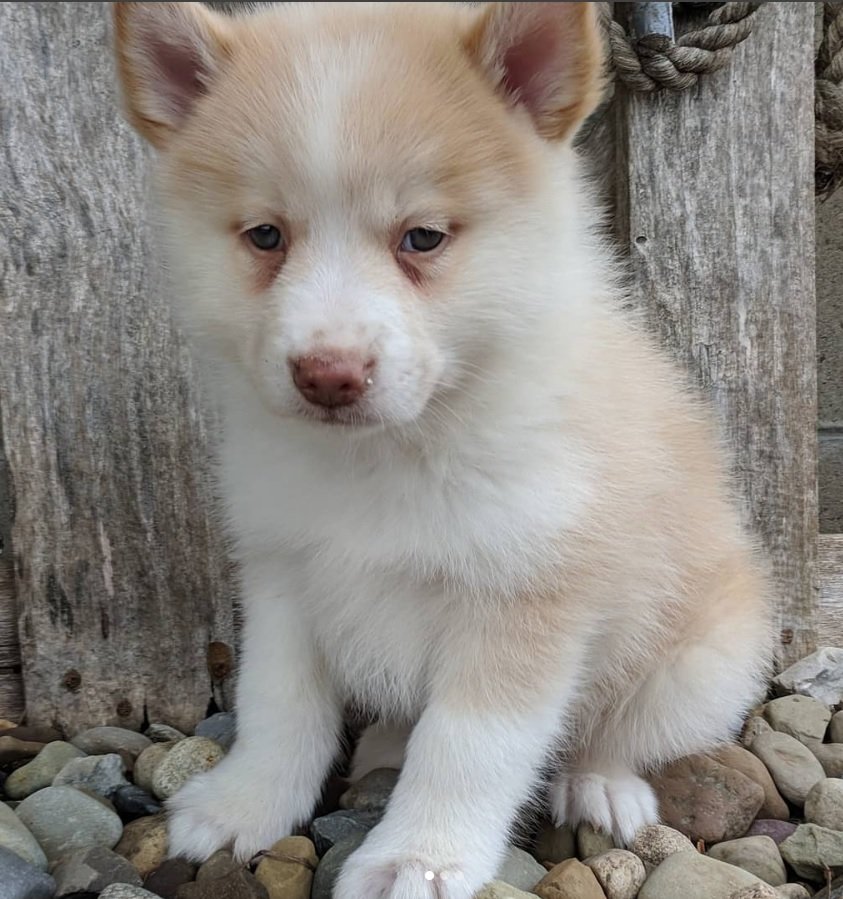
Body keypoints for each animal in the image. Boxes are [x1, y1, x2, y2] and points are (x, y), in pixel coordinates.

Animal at [113, 3, 780, 896]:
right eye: (264, 235)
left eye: (422, 237)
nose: (328, 374)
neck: (389, 454)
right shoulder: (283, 575)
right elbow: (277, 706)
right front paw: (244, 803)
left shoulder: (521, 600)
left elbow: (464, 747)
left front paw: (417, 856)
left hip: (697, 659)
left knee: (618, 730)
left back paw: (596, 782)